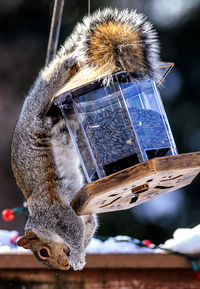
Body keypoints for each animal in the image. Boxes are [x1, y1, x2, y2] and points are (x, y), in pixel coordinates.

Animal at [10, 7, 159, 270]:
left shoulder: (57, 214)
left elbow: (73, 230)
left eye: (43, 253)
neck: (41, 220)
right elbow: (88, 226)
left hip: (44, 97)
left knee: (63, 68)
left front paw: (78, 256)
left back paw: (73, 61)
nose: (63, 267)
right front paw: (82, 256)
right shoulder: (80, 214)